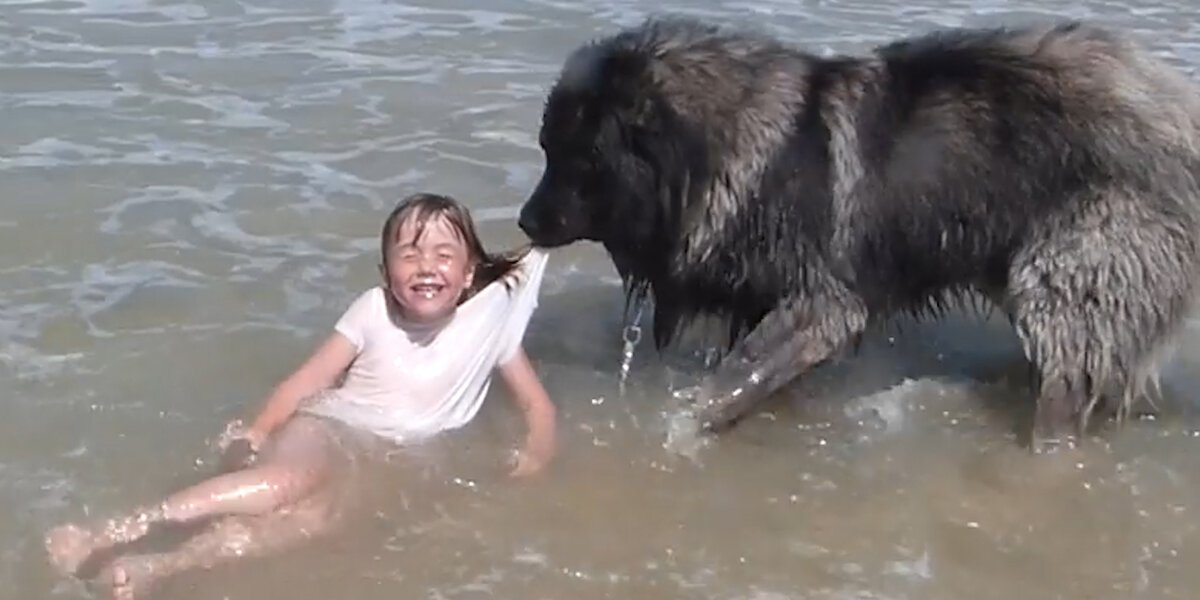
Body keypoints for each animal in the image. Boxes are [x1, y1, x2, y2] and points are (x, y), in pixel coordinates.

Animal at [516, 15, 1200, 451]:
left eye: (575, 159)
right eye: (547, 149)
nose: (523, 221)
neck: (713, 150)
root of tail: (1177, 111)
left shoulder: (822, 306)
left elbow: (727, 386)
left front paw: (677, 431)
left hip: (1067, 286)